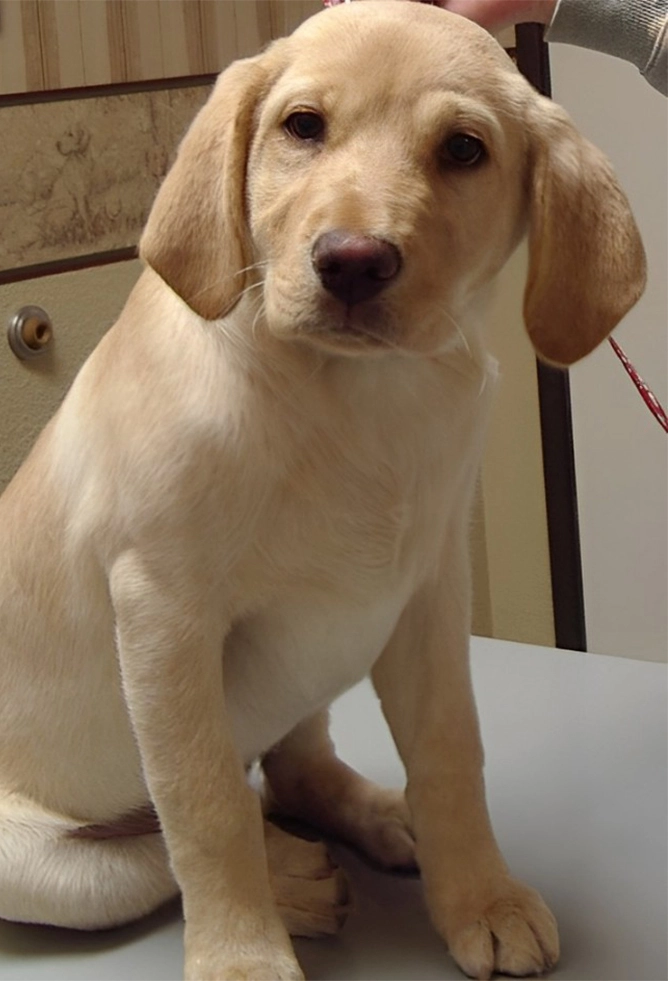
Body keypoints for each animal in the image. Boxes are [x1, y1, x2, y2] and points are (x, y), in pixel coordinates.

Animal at [0, 1, 644, 980]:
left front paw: (480, 895)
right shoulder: (162, 614)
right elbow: (204, 807)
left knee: (292, 768)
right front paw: (242, 955)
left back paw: (379, 816)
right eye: (303, 126)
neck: (358, 395)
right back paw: (295, 881)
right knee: (149, 850)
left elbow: (451, 753)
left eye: (463, 149)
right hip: (47, 864)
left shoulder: (431, 592)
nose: (352, 261)